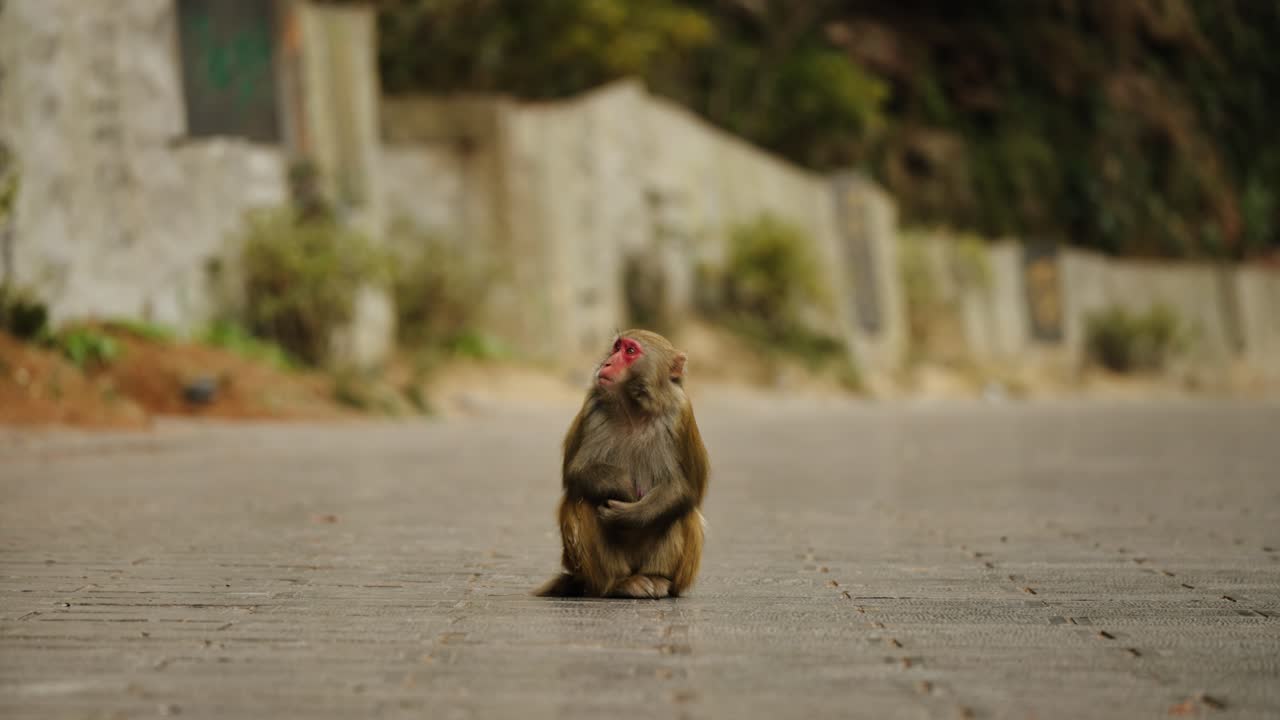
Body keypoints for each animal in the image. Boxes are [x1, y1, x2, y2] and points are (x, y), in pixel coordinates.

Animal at [535, 329, 710, 599]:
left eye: (630, 351)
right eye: (616, 347)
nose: (607, 363)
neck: (634, 408)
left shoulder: (680, 413)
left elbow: (686, 487)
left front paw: (631, 515)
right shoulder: (593, 406)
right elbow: (576, 472)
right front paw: (622, 486)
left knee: (682, 512)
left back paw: (657, 577)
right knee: (583, 502)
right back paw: (619, 583)